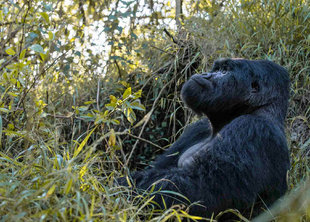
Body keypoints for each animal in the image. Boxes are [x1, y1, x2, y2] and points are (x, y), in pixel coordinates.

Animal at [119, 58, 290, 219]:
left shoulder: (252, 128)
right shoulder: (198, 128)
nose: (205, 74)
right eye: (216, 68)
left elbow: (190, 190)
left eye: (225, 71)